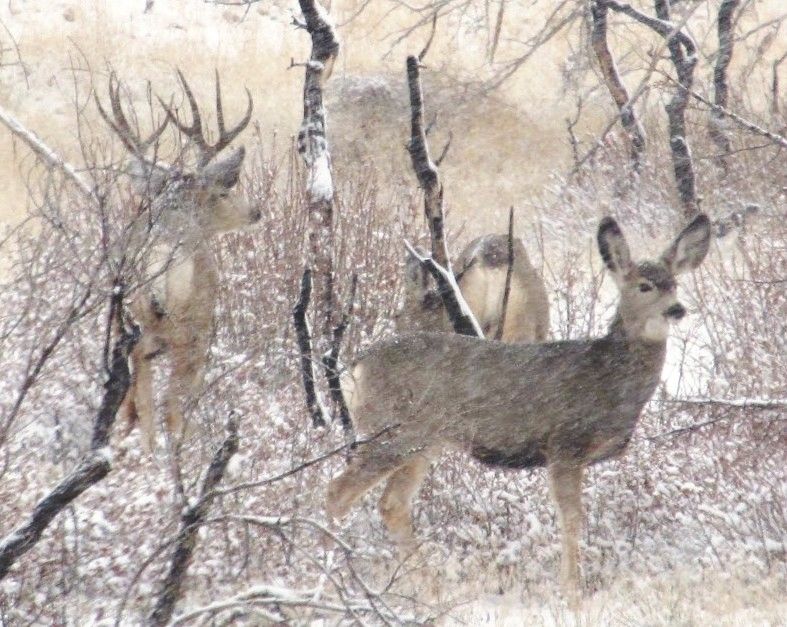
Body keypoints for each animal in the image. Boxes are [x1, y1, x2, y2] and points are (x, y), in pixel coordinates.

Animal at [97, 70, 260, 452]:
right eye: (224, 191)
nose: (255, 211)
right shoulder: (203, 330)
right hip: (188, 330)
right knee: (168, 405)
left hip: (128, 326)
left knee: (137, 400)